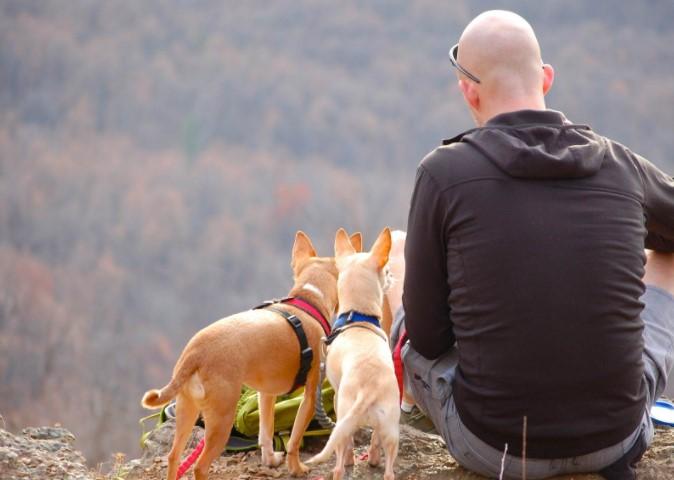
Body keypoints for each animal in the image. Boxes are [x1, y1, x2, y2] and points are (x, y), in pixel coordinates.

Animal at [143, 231, 342, 478]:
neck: (308, 300)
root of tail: (195, 353)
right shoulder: (310, 395)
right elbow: (295, 439)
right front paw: (296, 468)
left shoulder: (266, 394)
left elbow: (266, 431)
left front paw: (271, 460)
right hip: (221, 419)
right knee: (199, 466)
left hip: (186, 409)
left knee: (173, 456)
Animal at [306, 228, 400, 480]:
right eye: (387, 271)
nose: (392, 277)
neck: (357, 317)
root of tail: (369, 390)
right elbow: (374, 442)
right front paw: (373, 461)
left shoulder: (336, 395)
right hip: (390, 428)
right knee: (388, 468)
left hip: (343, 418)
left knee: (340, 461)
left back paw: (342, 466)